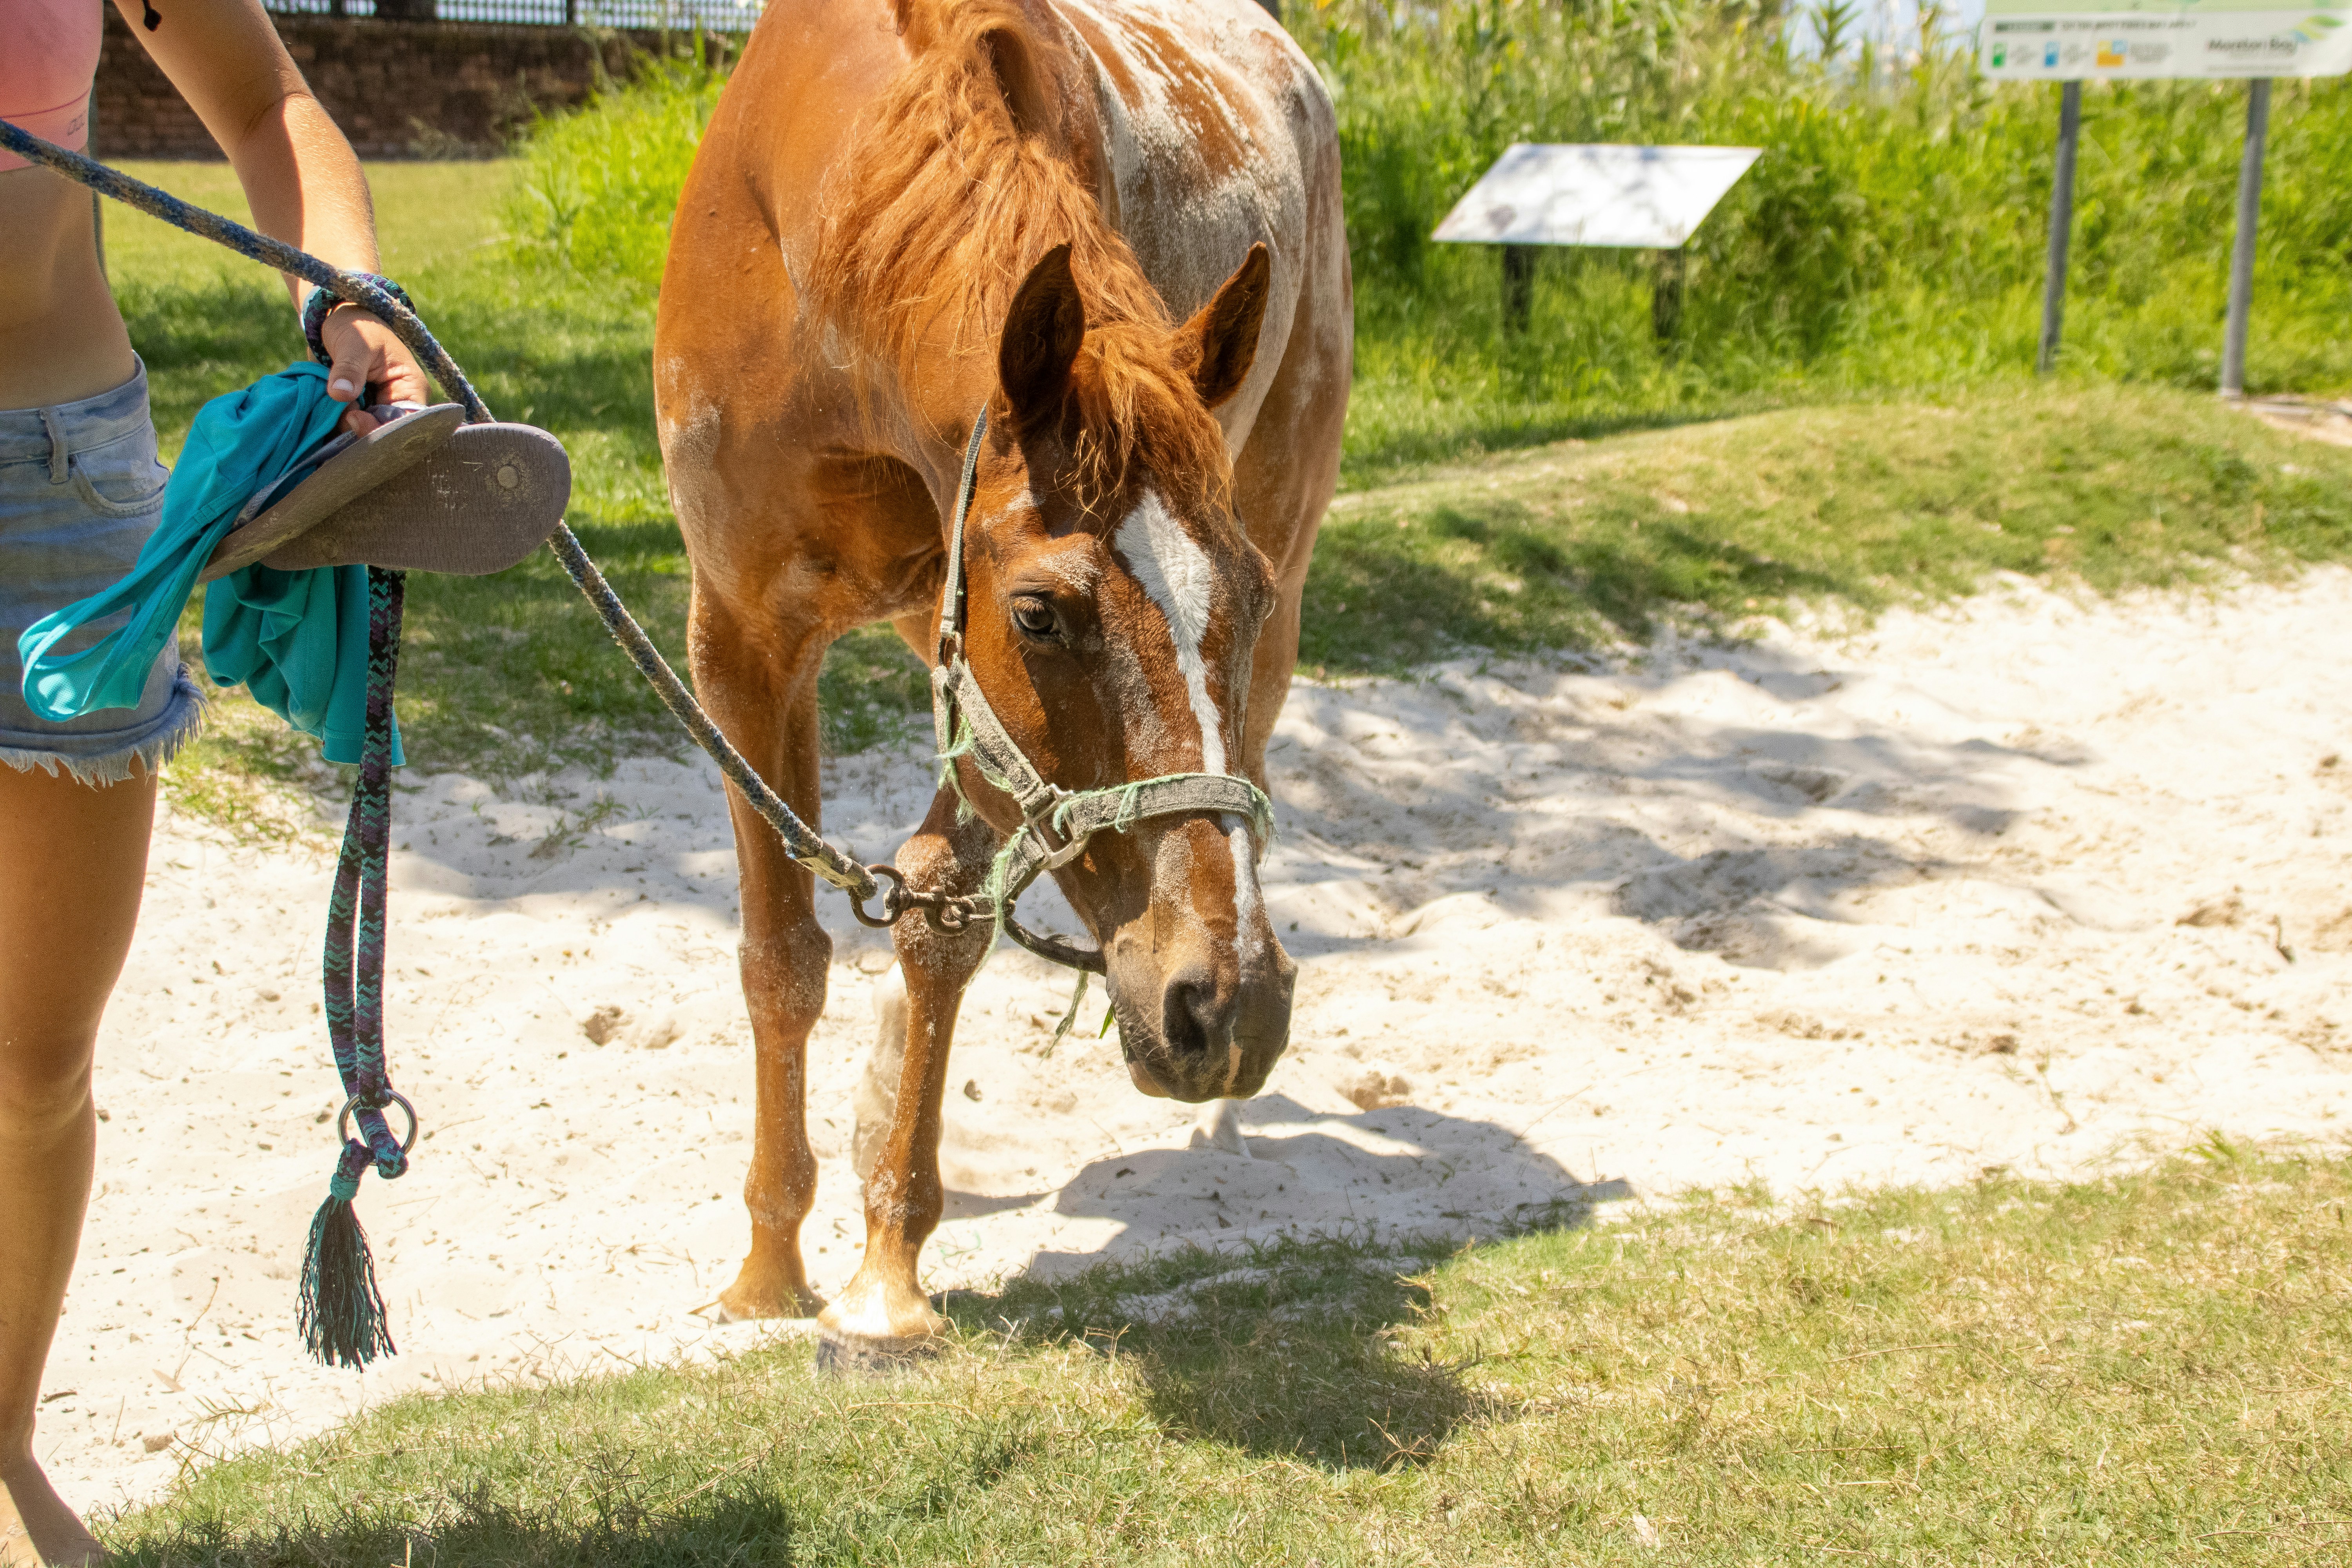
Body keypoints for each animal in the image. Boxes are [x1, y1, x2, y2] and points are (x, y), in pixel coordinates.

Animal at [652, 0, 1350, 1358]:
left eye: (1235, 593)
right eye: (1039, 611)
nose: (1226, 1007)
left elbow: (933, 919)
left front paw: (885, 1269)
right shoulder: (744, 637)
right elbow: (780, 956)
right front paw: (767, 1267)